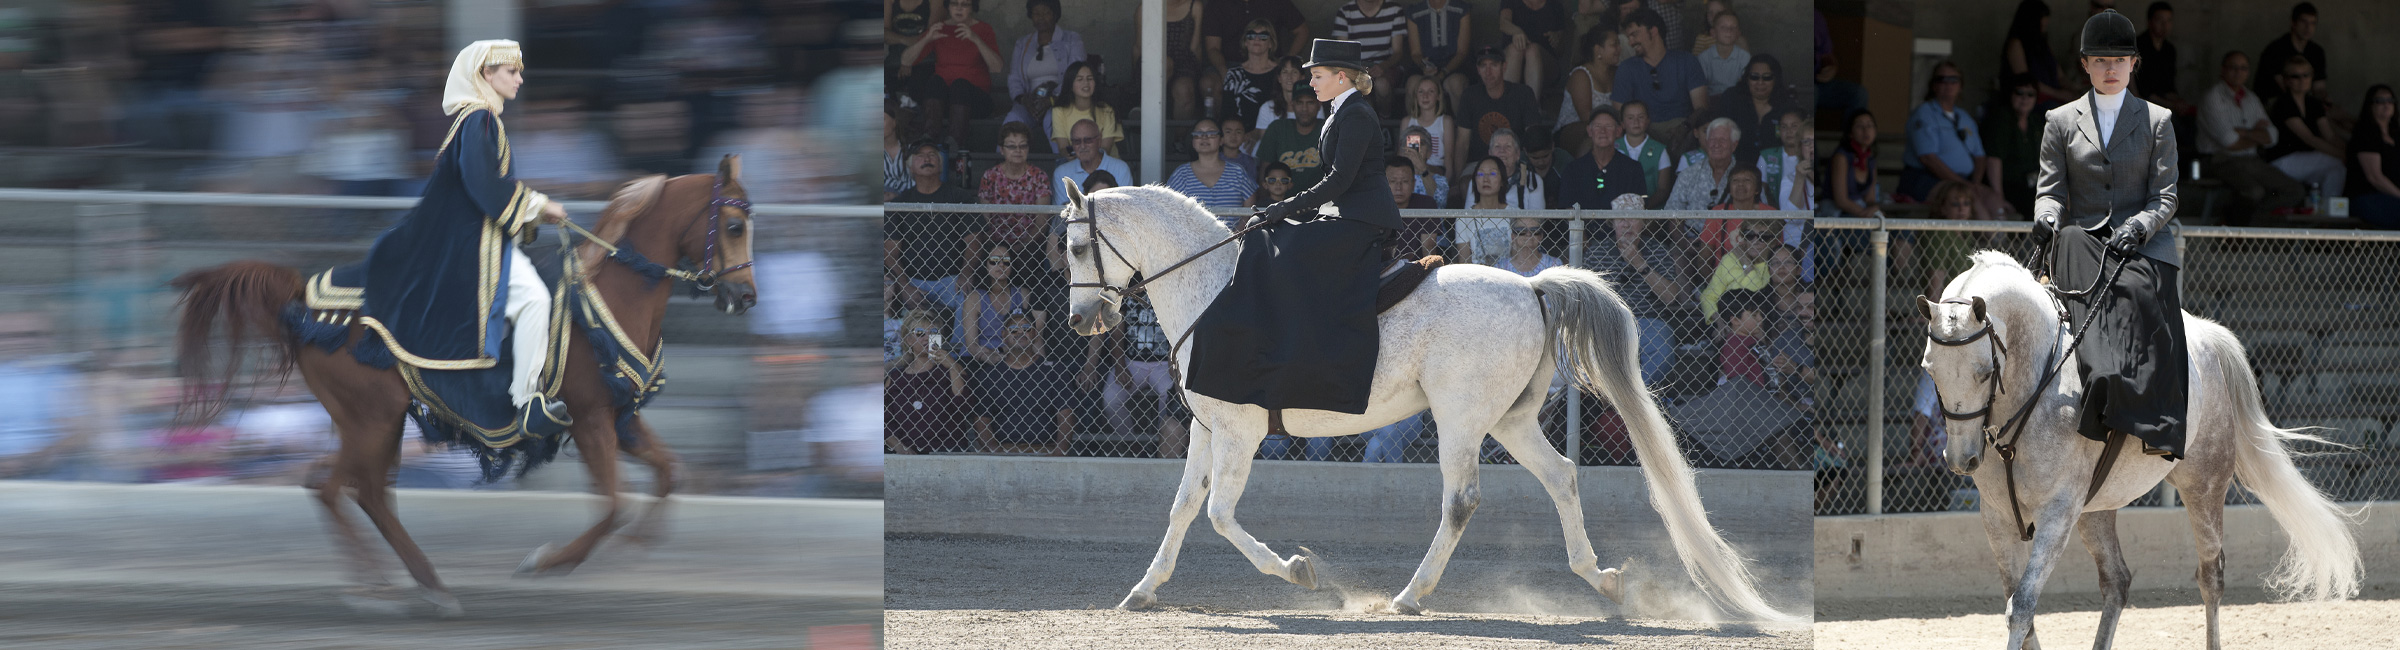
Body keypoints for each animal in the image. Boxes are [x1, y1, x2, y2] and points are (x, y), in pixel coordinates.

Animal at [170, 158, 758, 618]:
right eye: (733, 226)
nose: (745, 296)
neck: (608, 302)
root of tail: (305, 302)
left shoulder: (623, 419)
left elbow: (668, 474)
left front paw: (636, 544)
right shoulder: (592, 420)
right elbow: (615, 505)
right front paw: (547, 561)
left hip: (372, 424)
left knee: (356, 490)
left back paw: (423, 584)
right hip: (372, 420)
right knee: (340, 488)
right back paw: (383, 590)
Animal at [1060, 177, 1795, 623]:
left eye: (1074, 245)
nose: (1083, 322)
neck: (1213, 289)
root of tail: (1533, 288)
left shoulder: (1240, 432)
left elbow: (1218, 514)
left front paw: (1299, 572)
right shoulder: (1207, 429)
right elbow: (1184, 507)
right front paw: (1143, 589)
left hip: (1460, 419)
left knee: (1461, 499)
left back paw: (1411, 596)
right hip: (1509, 419)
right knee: (1561, 476)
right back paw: (1602, 579)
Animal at [1920, 251, 2352, 647]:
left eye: (1984, 373)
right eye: (1930, 370)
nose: (1961, 460)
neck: (2036, 388)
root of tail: (2205, 336)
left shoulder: (2056, 514)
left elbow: (2022, 606)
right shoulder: (1996, 518)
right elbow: (2020, 609)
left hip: (2204, 486)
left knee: (2211, 577)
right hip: (2096, 509)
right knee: (2117, 580)